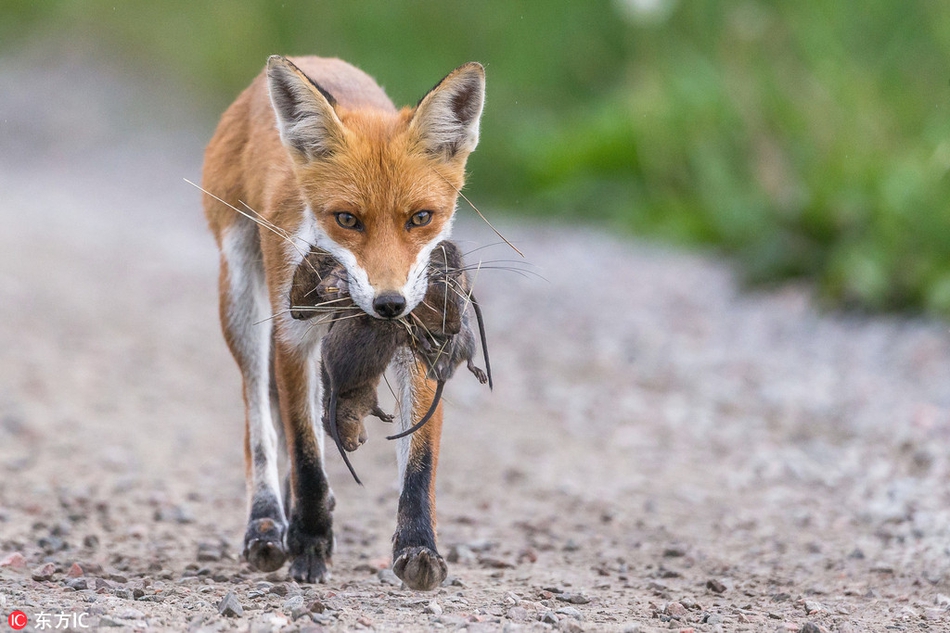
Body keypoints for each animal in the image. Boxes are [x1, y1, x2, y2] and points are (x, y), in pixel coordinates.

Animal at [200, 53, 484, 588]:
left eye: (421, 218)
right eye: (347, 220)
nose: (389, 304)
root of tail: (315, 59)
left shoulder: (420, 334)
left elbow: (419, 462)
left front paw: (419, 547)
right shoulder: (294, 339)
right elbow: (307, 455)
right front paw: (310, 543)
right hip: (243, 304)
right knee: (261, 427)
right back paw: (266, 525)